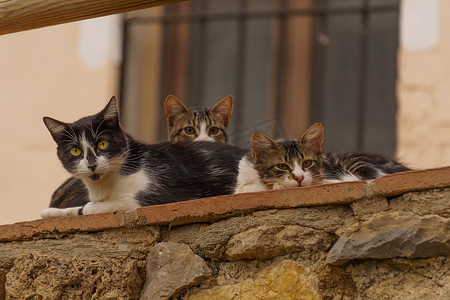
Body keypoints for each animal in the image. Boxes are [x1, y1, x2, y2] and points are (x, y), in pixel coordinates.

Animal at [40, 95, 248, 216]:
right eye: (75, 150)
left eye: (102, 144)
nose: (91, 164)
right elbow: (76, 209)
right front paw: (52, 212)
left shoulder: (159, 195)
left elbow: (91, 207)